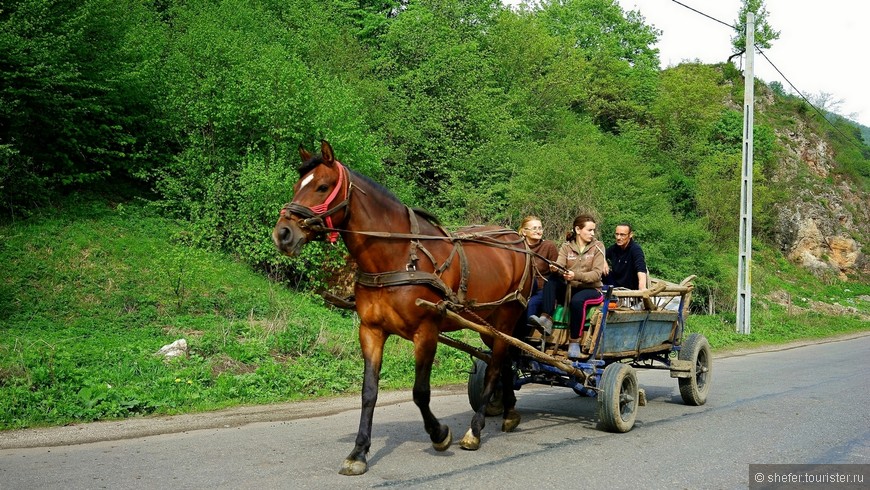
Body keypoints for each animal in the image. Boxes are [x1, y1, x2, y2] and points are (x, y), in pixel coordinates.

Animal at [272, 141, 532, 474]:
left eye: (322, 186)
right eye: (297, 186)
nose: (283, 234)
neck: (397, 258)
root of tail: (518, 240)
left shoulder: (427, 331)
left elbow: (420, 392)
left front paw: (439, 434)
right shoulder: (371, 331)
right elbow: (368, 392)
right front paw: (359, 452)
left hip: (505, 319)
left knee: (497, 366)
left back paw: (475, 429)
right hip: (488, 325)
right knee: (507, 361)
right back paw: (509, 412)